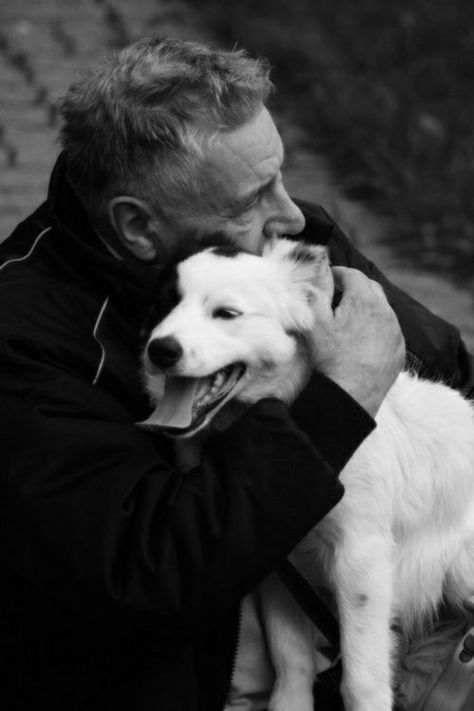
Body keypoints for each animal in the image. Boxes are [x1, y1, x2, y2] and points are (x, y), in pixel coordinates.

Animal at [140, 241, 474, 711]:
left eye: (227, 313)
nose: (160, 351)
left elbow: (362, 680)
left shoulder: (362, 554)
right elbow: (290, 660)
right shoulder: (282, 563)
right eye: (164, 305)